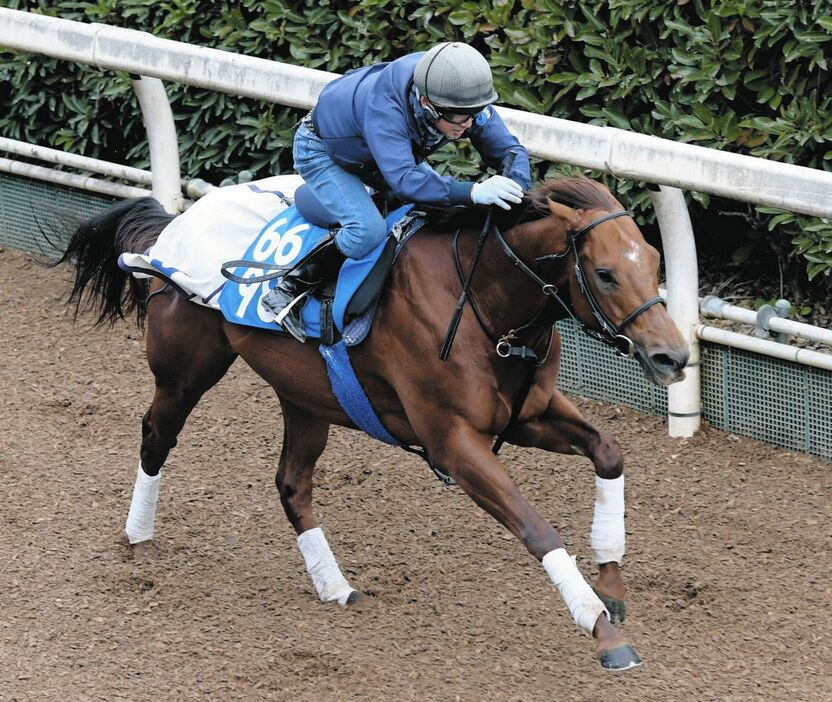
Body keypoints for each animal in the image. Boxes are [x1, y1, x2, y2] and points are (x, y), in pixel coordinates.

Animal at [57, 176, 684, 672]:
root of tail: (175, 224)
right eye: (605, 273)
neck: (482, 301)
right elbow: (538, 530)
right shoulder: (453, 443)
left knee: (292, 482)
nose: (673, 356)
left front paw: (612, 588)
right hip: (186, 370)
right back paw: (139, 537)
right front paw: (602, 630)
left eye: (655, 264)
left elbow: (609, 450)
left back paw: (335, 586)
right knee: (156, 436)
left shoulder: (526, 415)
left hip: (305, 395)